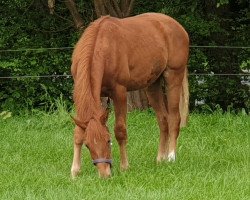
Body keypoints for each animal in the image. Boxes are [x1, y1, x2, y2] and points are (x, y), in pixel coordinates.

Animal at [69, 12, 188, 178]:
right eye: (87, 145)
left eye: (108, 141)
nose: (105, 174)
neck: (102, 47)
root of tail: (177, 26)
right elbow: (78, 132)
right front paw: (75, 171)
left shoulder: (119, 93)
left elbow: (120, 130)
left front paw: (124, 166)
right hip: (152, 85)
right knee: (163, 120)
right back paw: (160, 158)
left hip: (173, 77)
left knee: (174, 118)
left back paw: (171, 157)